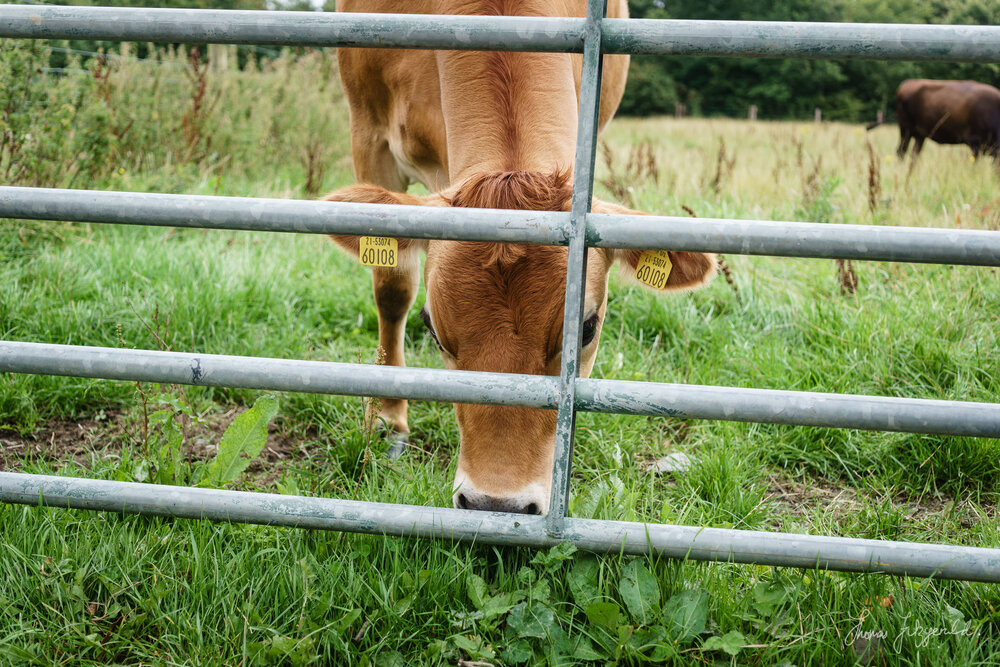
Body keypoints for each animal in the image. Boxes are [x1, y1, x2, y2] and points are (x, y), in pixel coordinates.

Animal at [324, 0, 716, 516]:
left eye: (586, 329)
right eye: (435, 330)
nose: (497, 503)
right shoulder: (369, 133)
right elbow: (391, 288)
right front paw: (390, 422)